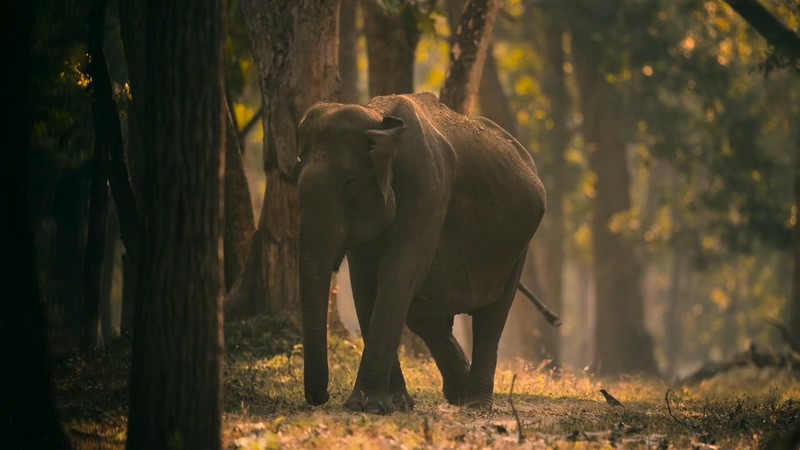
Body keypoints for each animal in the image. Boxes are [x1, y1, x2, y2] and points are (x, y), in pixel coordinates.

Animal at [296, 91, 548, 414]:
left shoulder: (429, 188)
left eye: (349, 184)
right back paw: (458, 393)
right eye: (296, 183)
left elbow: (398, 273)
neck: (379, 119)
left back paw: (475, 404)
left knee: (492, 316)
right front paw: (395, 404)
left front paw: (368, 406)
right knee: (425, 316)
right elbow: (365, 285)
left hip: (519, 247)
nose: (323, 396)